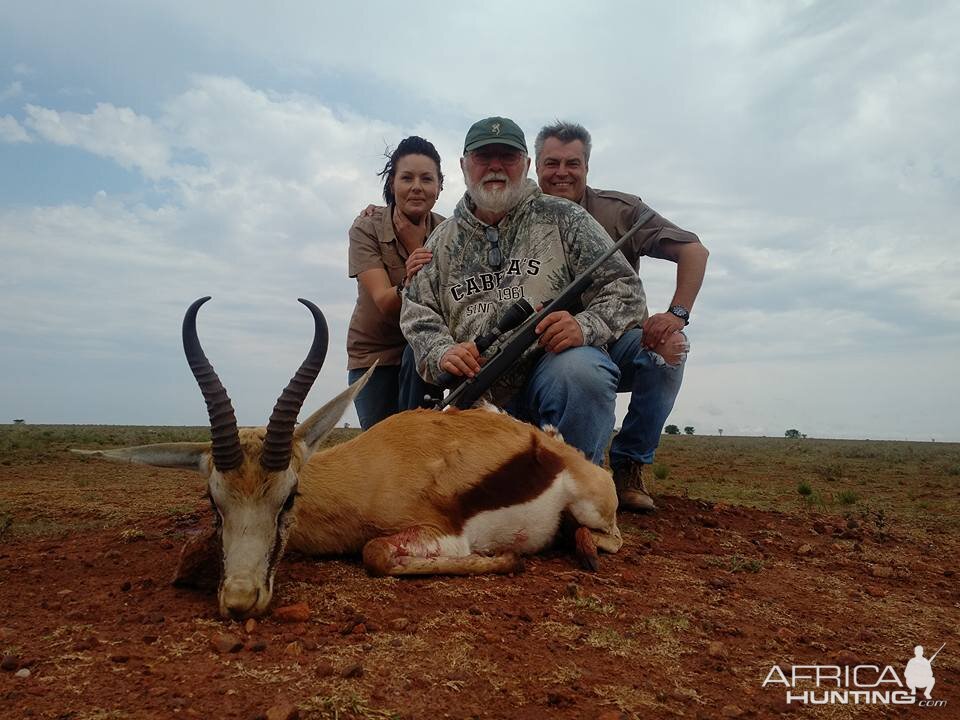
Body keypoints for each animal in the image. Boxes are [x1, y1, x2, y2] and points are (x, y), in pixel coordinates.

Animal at [80, 298, 624, 620]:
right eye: (213, 502)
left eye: (289, 496)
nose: (239, 600)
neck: (366, 473)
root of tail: (554, 447)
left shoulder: (440, 534)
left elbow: (374, 554)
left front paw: (507, 559)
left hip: (594, 510)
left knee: (609, 538)